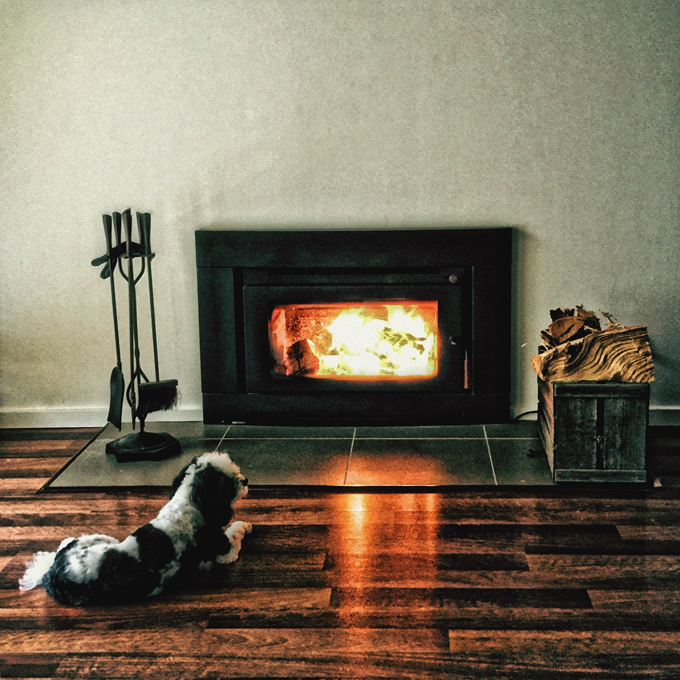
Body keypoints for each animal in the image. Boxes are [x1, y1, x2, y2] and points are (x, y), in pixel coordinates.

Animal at [19, 452, 251, 604]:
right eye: (231, 480)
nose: (246, 479)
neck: (189, 501)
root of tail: (53, 570)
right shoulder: (224, 550)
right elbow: (234, 532)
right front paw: (243, 524)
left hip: (91, 539)